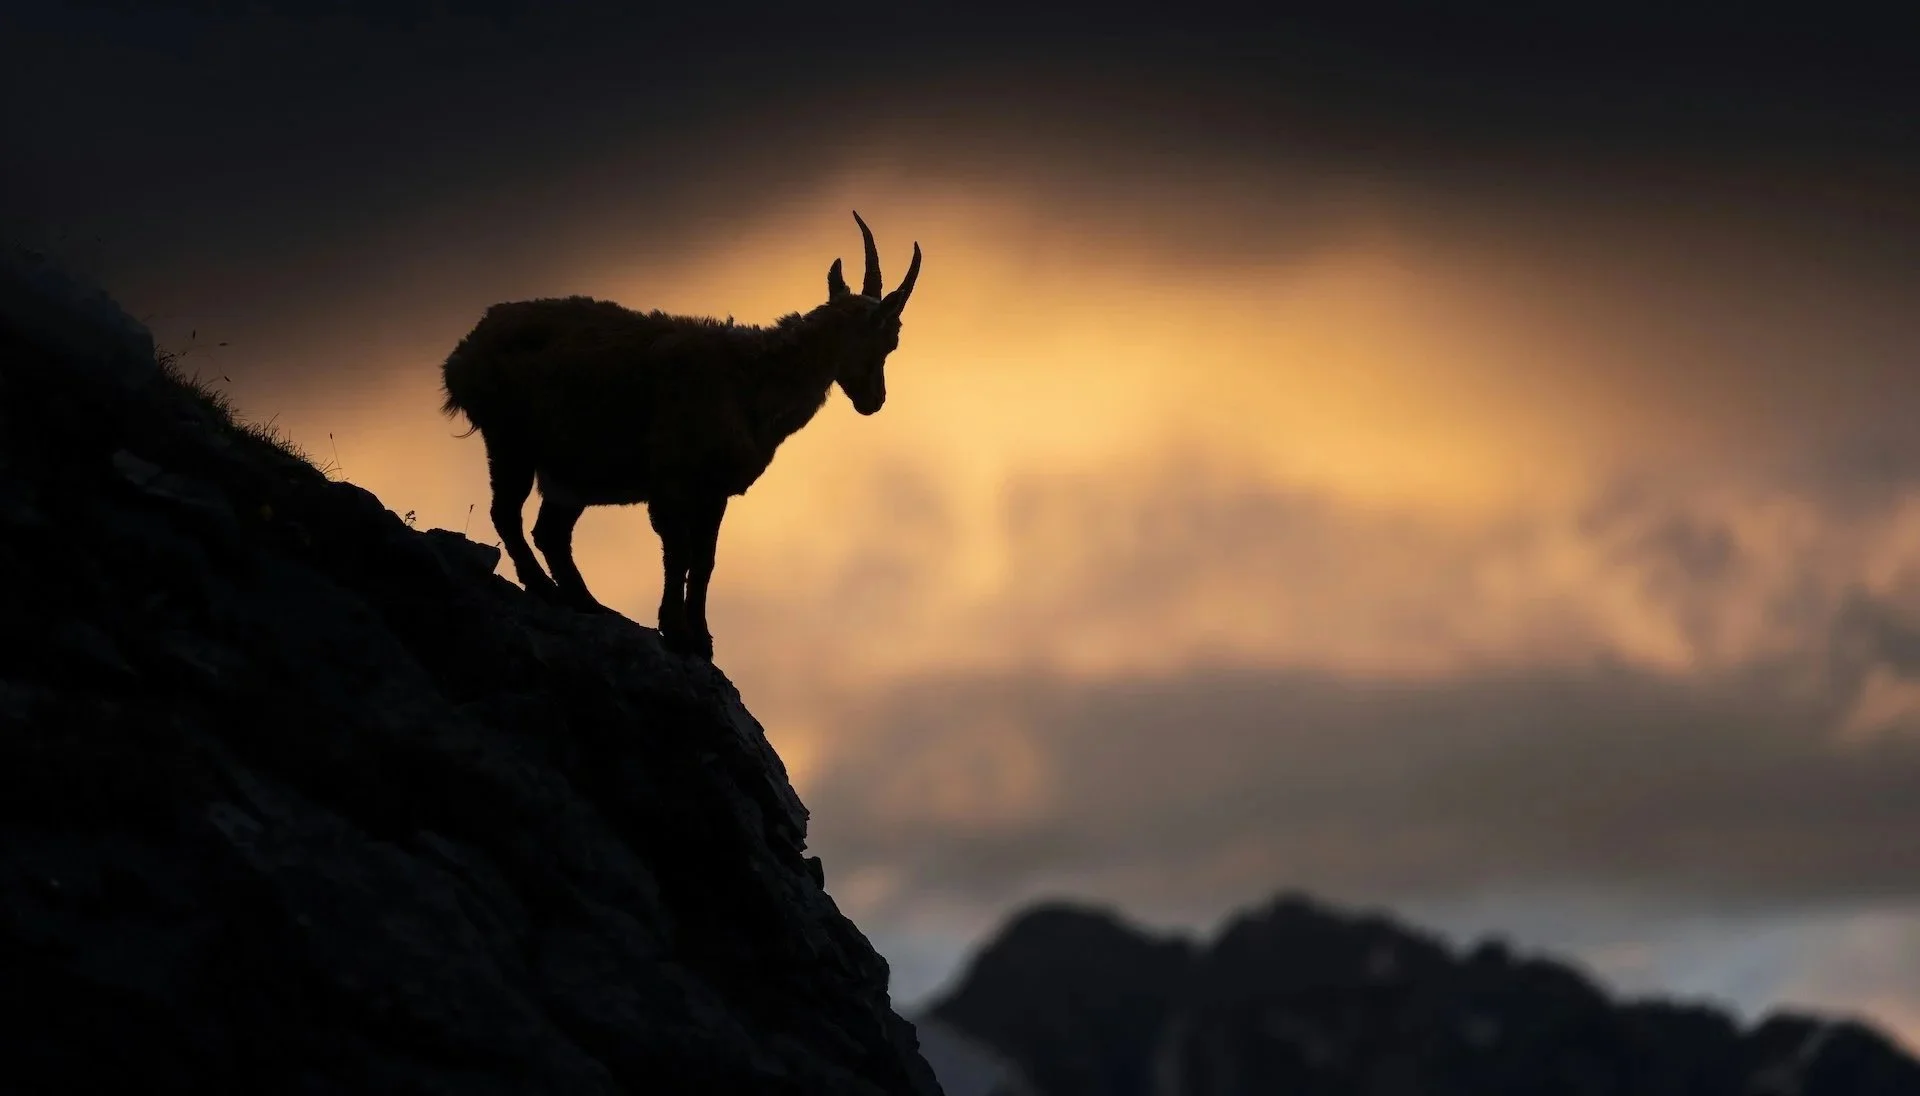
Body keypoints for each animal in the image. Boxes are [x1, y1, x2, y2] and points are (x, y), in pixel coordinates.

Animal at [439, 211, 922, 659]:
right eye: (889, 340)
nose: (874, 400)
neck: (750, 380)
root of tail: (463, 354)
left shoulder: (714, 492)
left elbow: (705, 561)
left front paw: (702, 641)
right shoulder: (671, 484)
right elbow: (679, 554)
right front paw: (675, 631)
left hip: (569, 473)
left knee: (551, 532)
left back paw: (589, 603)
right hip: (510, 441)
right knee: (508, 514)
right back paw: (546, 589)